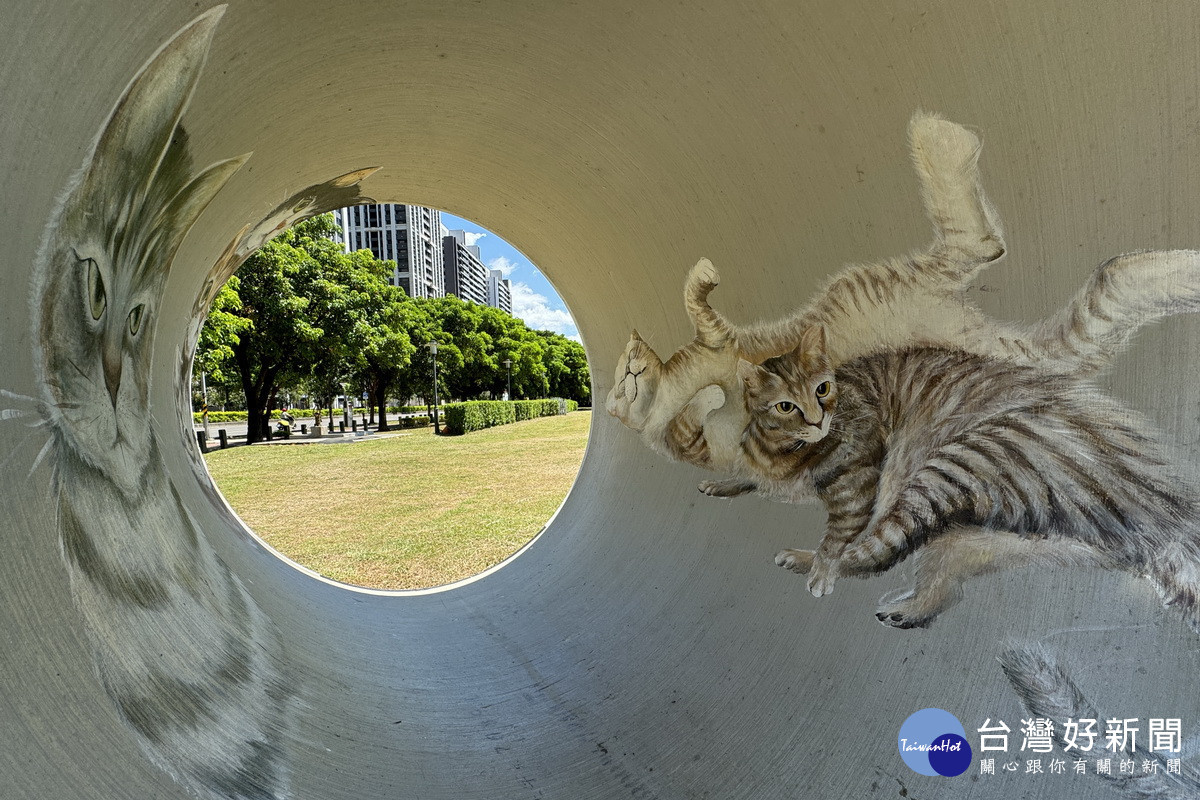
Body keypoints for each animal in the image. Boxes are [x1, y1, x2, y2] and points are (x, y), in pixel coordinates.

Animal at [734, 328, 1200, 628]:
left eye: (823, 390)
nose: (817, 420)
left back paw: (819, 565)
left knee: (874, 550)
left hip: (954, 464)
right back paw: (912, 606)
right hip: (985, 535)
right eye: (786, 405)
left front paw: (820, 565)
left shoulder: (859, 484)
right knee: (939, 570)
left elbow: (839, 537)